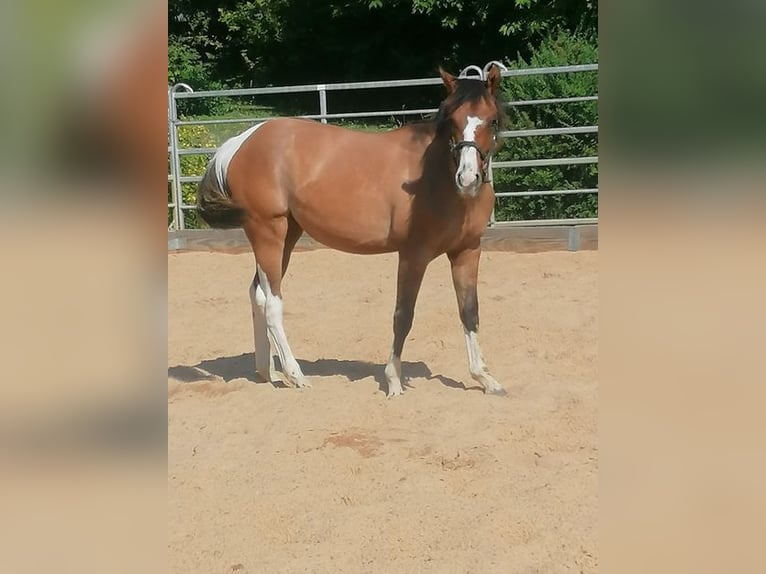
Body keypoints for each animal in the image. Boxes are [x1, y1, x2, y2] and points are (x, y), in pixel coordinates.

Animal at [196, 64, 507, 398]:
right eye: (453, 120)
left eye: (491, 119)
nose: (468, 178)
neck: (437, 177)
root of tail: (241, 141)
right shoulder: (414, 254)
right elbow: (403, 314)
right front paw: (393, 380)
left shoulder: (466, 251)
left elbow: (469, 311)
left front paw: (485, 378)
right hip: (268, 231)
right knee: (272, 303)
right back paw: (296, 374)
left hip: (287, 235)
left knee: (257, 294)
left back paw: (269, 373)